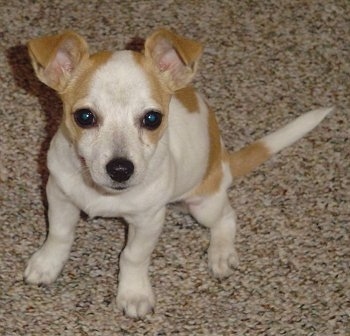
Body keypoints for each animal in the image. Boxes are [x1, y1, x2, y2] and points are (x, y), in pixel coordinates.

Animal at [23, 28, 330, 318]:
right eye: (84, 117)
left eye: (152, 119)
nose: (120, 169)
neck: (103, 192)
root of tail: (223, 162)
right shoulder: (59, 195)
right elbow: (59, 234)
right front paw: (47, 264)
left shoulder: (148, 221)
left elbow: (133, 256)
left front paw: (133, 293)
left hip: (204, 205)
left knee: (227, 217)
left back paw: (221, 253)